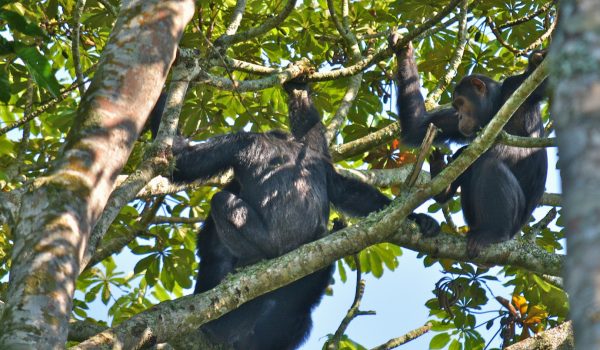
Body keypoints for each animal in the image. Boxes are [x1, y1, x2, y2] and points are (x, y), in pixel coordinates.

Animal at [150, 80, 440, 350]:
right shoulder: (318, 160)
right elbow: (345, 189)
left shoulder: (238, 142)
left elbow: (183, 163)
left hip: (269, 243)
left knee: (221, 202)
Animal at [390, 34, 548, 258]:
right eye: (455, 106)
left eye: (462, 102)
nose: (460, 116)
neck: (496, 106)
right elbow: (417, 127)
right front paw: (404, 52)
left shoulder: (516, 87)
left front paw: (536, 60)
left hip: (512, 226)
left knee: (489, 164)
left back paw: (493, 233)